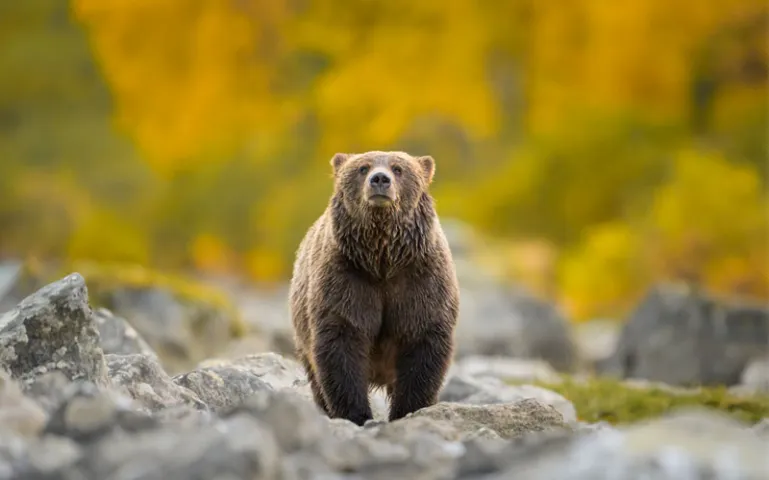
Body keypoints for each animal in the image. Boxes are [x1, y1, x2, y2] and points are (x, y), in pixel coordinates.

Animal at [288, 150, 460, 426]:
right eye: (363, 167)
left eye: (399, 168)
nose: (380, 179)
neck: (382, 260)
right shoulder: (346, 278)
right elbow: (342, 341)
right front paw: (355, 414)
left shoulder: (421, 280)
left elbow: (422, 342)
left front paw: (409, 410)